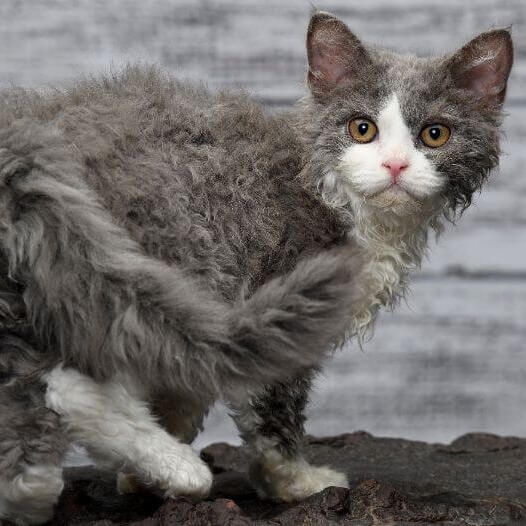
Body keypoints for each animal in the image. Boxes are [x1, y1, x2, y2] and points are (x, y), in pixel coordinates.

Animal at [0, 9, 516, 526]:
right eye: (362, 129)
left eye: (435, 134)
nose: (394, 166)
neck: (331, 195)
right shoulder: (278, 295)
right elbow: (271, 412)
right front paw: (294, 481)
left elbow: (187, 385)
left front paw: (142, 473)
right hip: (153, 253)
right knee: (65, 386)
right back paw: (171, 470)